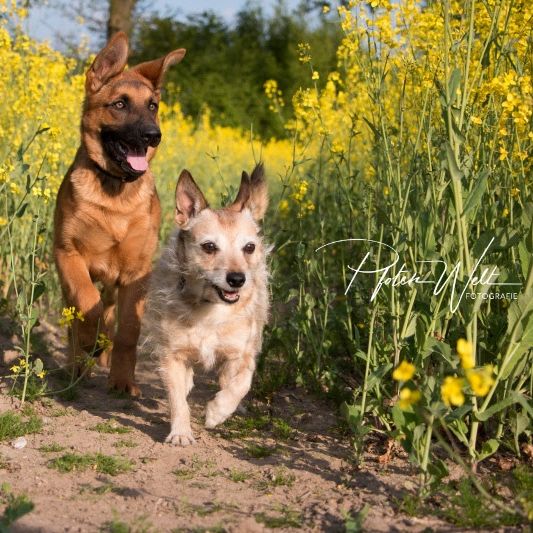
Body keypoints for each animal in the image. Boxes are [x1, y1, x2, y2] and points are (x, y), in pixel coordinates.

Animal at [52, 30, 185, 394]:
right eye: (120, 104)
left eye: (153, 106)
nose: (153, 136)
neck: (115, 196)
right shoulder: (68, 255)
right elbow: (87, 306)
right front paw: (91, 342)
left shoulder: (136, 274)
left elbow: (128, 331)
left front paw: (123, 380)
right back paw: (78, 365)